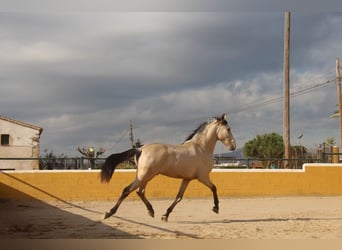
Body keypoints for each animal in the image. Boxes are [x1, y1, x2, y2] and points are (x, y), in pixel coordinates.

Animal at [100, 113, 236, 221]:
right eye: (228, 129)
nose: (233, 146)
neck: (201, 148)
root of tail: (141, 149)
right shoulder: (202, 177)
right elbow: (214, 188)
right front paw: (216, 208)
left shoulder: (187, 179)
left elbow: (179, 197)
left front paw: (165, 215)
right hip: (144, 176)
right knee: (127, 190)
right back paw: (109, 213)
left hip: (145, 176)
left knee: (140, 192)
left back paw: (151, 211)